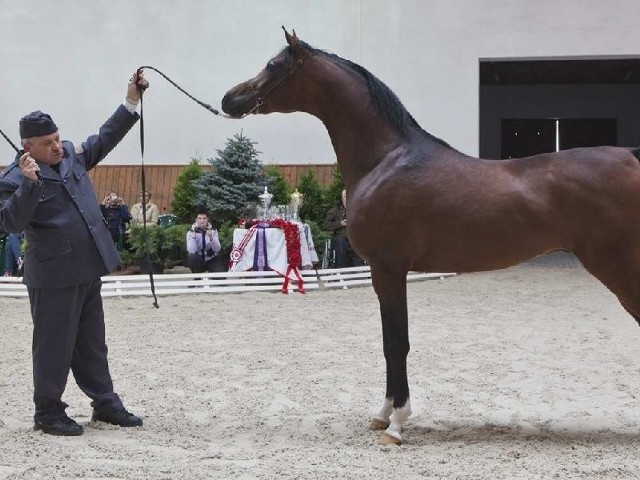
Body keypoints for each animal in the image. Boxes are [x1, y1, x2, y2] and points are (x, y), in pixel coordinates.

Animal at [221, 28, 640, 444]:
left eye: (273, 65)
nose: (230, 99)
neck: (385, 159)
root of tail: (630, 158)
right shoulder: (385, 272)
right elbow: (389, 343)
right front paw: (383, 414)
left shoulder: (388, 269)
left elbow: (397, 343)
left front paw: (396, 423)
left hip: (617, 267)